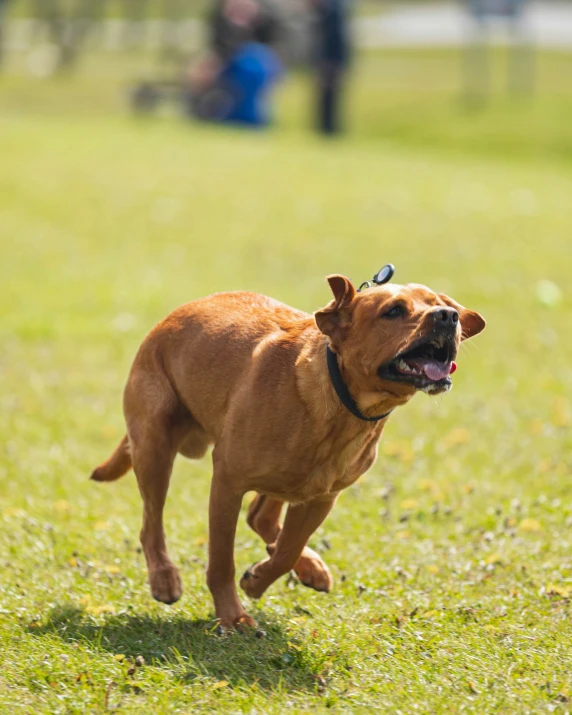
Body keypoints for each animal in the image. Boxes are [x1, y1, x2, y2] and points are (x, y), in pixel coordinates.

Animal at [91, 276, 484, 628]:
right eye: (394, 311)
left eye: (438, 303)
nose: (448, 316)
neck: (339, 404)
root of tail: (167, 321)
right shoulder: (227, 482)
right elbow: (221, 560)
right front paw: (232, 616)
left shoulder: (322, 496)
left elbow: (287, 549)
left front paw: (259, 579)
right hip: (154, 446)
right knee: (151, 524)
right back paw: (164, 577)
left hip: (292, 478)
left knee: (261, 518)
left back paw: (307, 565)